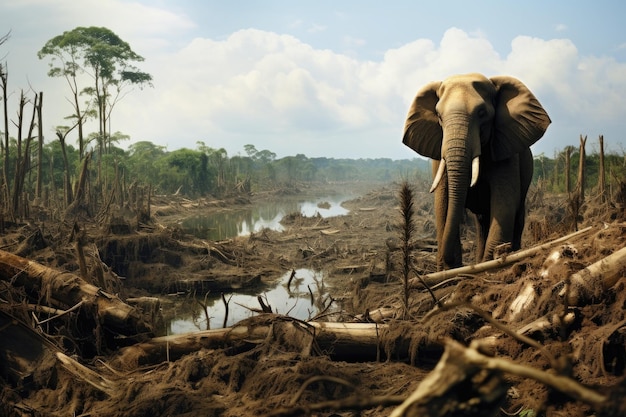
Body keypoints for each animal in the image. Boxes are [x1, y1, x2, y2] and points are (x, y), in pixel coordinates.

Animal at [402, 73, 548, 270]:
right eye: (439, 115)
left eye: (482, 113)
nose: (450, 261)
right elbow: (442, 204)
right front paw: (449, 270)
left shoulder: (505, 150)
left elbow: (504, 205)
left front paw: (489, 262)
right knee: (481, 222)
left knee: (515, 216)